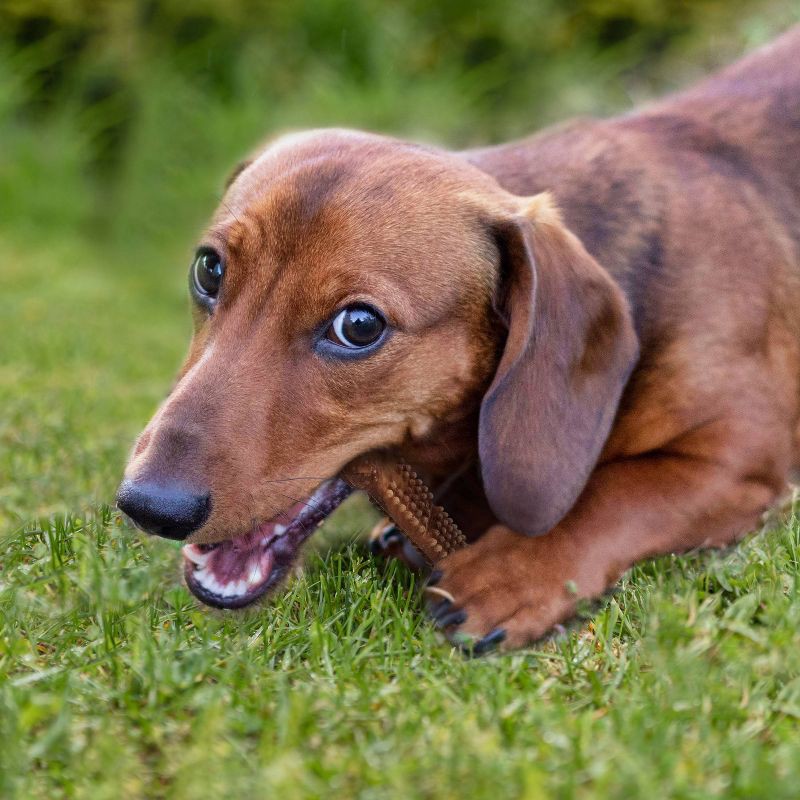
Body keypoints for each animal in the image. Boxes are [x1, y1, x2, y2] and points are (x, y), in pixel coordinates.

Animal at [115, 26, 800, 648]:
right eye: (209, 270)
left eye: (358, 326)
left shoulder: (743, 455)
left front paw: (511, 573)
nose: (149, 506)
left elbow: (621, 494)